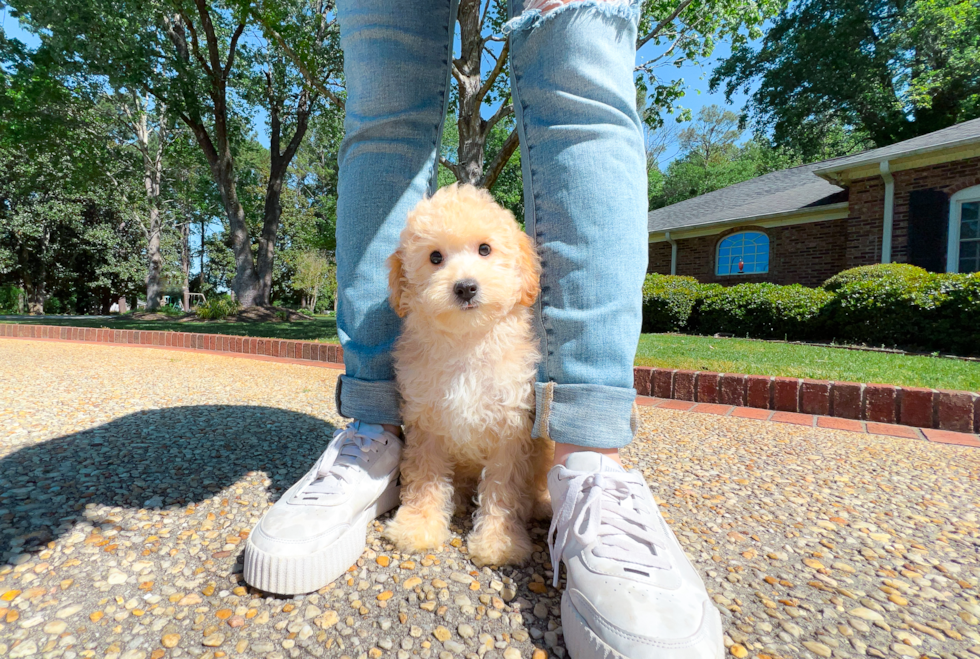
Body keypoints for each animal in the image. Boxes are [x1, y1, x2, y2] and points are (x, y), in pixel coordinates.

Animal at [382, 183, 552, 564]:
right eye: (435, 257)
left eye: (485, 249)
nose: (465, 287)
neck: (467, 344)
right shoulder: (425, 422)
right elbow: (425, 477)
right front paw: (418, 525)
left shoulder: (511, 427)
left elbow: (504, 488)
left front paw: (500, 541)